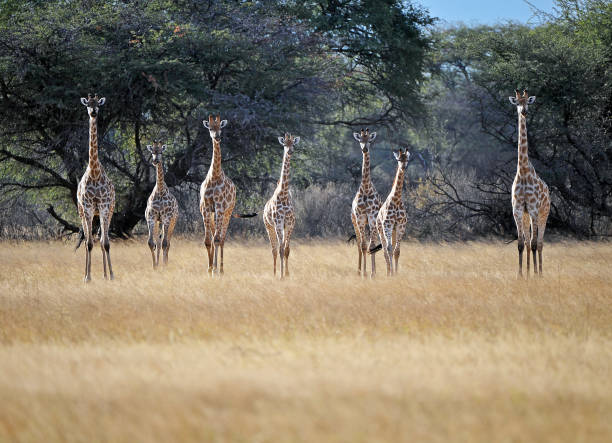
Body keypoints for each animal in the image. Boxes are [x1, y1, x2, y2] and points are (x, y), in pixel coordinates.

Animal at [145, 140, 178, 268]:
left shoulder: (167, 218)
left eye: (161, 152)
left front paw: (164, 266)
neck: (160, 190)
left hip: (172, 222)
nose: (155, 161)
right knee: (158, 242)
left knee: (167, 243)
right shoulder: (151, 217)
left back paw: (165, 263)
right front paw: (155, 266)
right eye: (152, 152)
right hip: (159, 222)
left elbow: (165, 243)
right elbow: (151, 243)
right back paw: (159, 263)